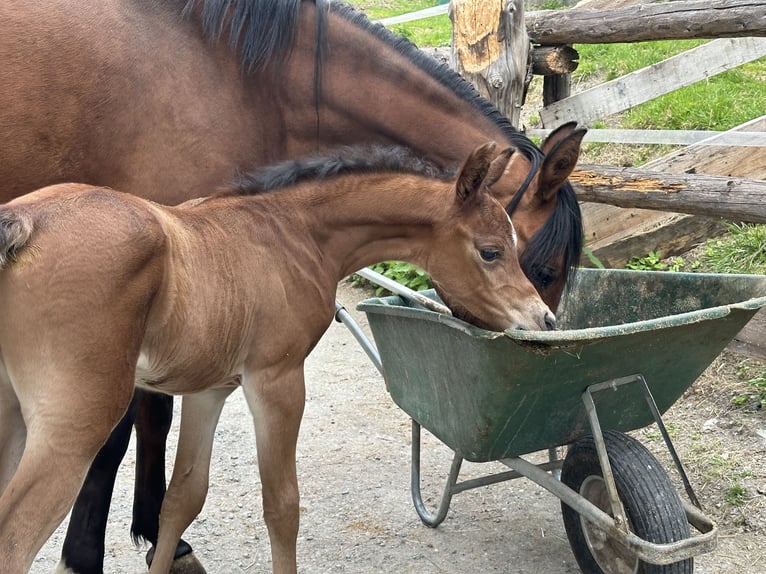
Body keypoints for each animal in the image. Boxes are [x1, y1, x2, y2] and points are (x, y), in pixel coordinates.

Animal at [0, 1, 588, 572]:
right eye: (503, 253)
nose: (544, 325)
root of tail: (23, 225)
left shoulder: (211, 384)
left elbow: (183, 495)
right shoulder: (275, 379)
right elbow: (279, 505)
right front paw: (85, 556)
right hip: (66, 425)